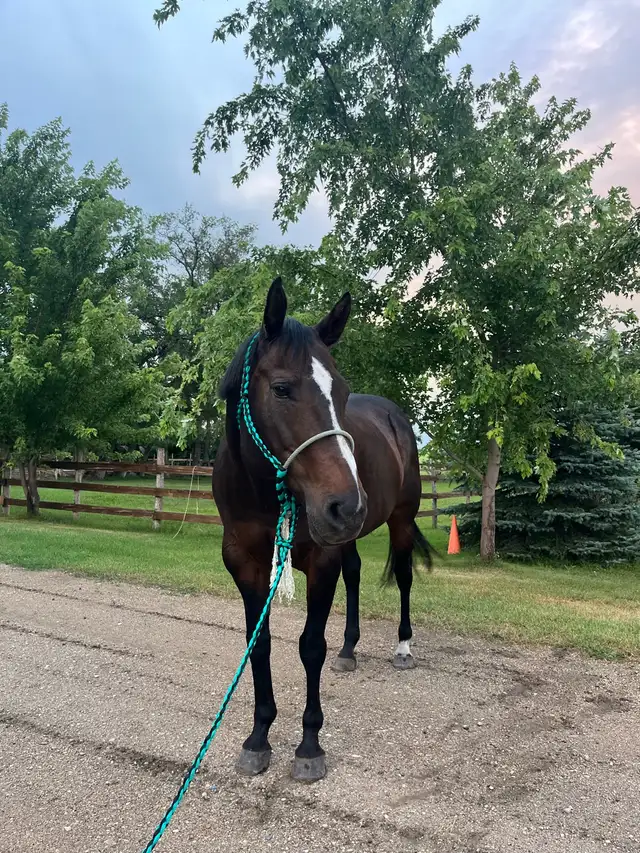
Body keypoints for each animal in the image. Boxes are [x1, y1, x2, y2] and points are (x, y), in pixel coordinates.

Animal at [213, 276, 432, 782]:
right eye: (282, 388)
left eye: (343, 392)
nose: (348, 505)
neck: (263, 491)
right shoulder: (245, 562)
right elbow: (259, 645)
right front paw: (258, 737)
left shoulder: (319, 559)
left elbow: (310, 645)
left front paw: (309, 745)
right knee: (354, 573)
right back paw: (349, 651)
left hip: (400, 520)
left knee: (404, 578)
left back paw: (403, 648)